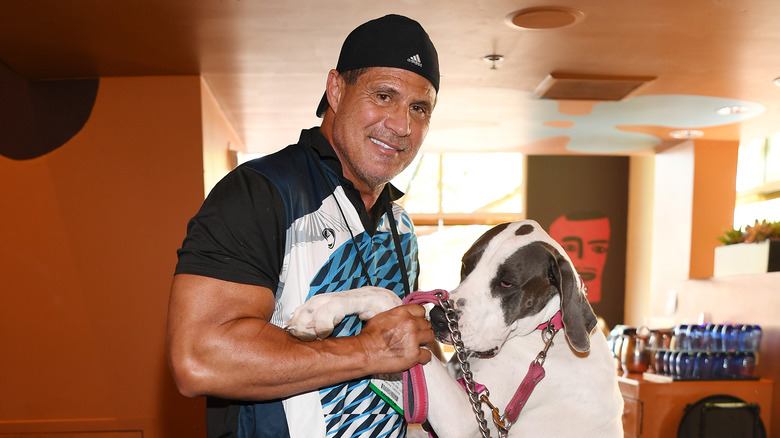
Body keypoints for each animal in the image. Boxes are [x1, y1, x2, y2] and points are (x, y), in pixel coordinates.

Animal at [286, 221, 620, 436]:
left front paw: (322, 308)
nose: (437, 318)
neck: (546, 331)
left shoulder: (462, 419)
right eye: (465, 266)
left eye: (506, 283)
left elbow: (386, 295)